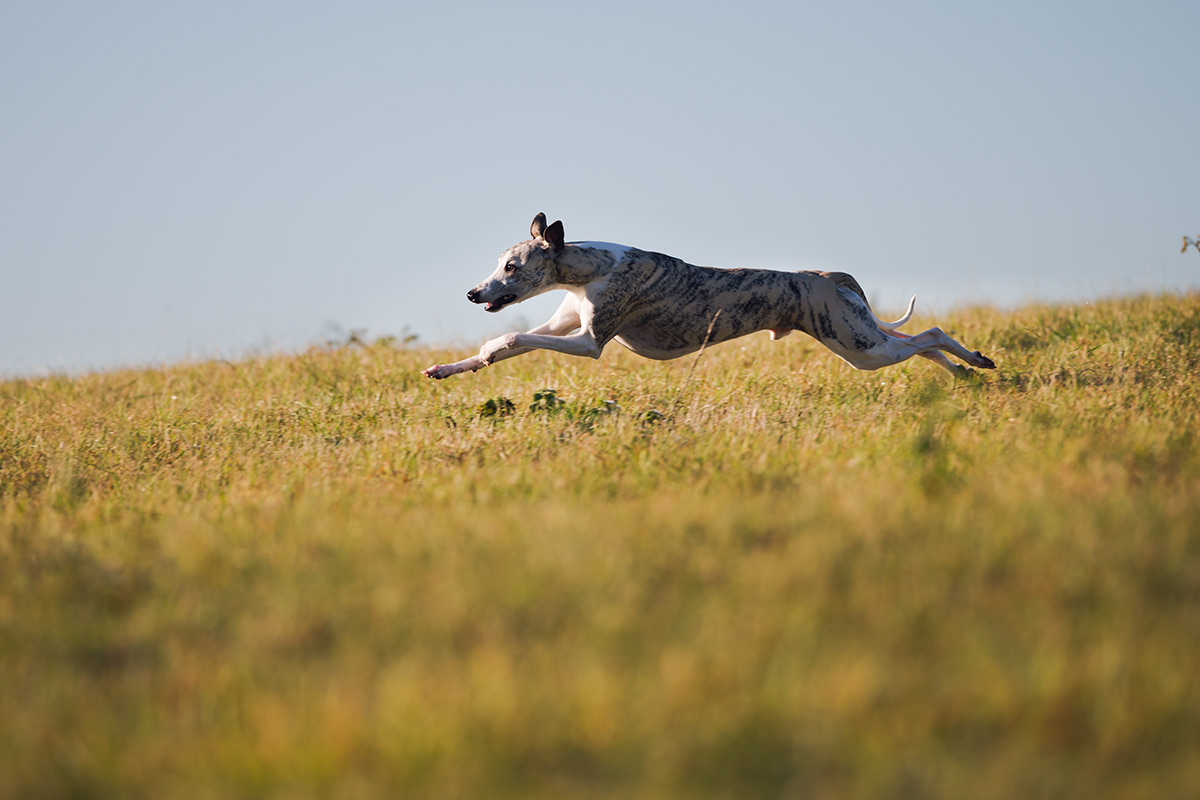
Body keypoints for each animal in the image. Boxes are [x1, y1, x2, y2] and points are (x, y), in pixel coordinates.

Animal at [422, 214, 993, 381]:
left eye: (511, 267)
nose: (473, 293)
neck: (590, 270)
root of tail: (827, 277)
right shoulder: (565, 324)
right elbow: (513, 340)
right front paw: (452, 367)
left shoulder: (588, 342)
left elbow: (516, 335)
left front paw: (488, 351)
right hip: (862, 342)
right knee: (920, 344)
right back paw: (961, 372)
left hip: (858, 345)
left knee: (930, 333)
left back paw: (976, 361)